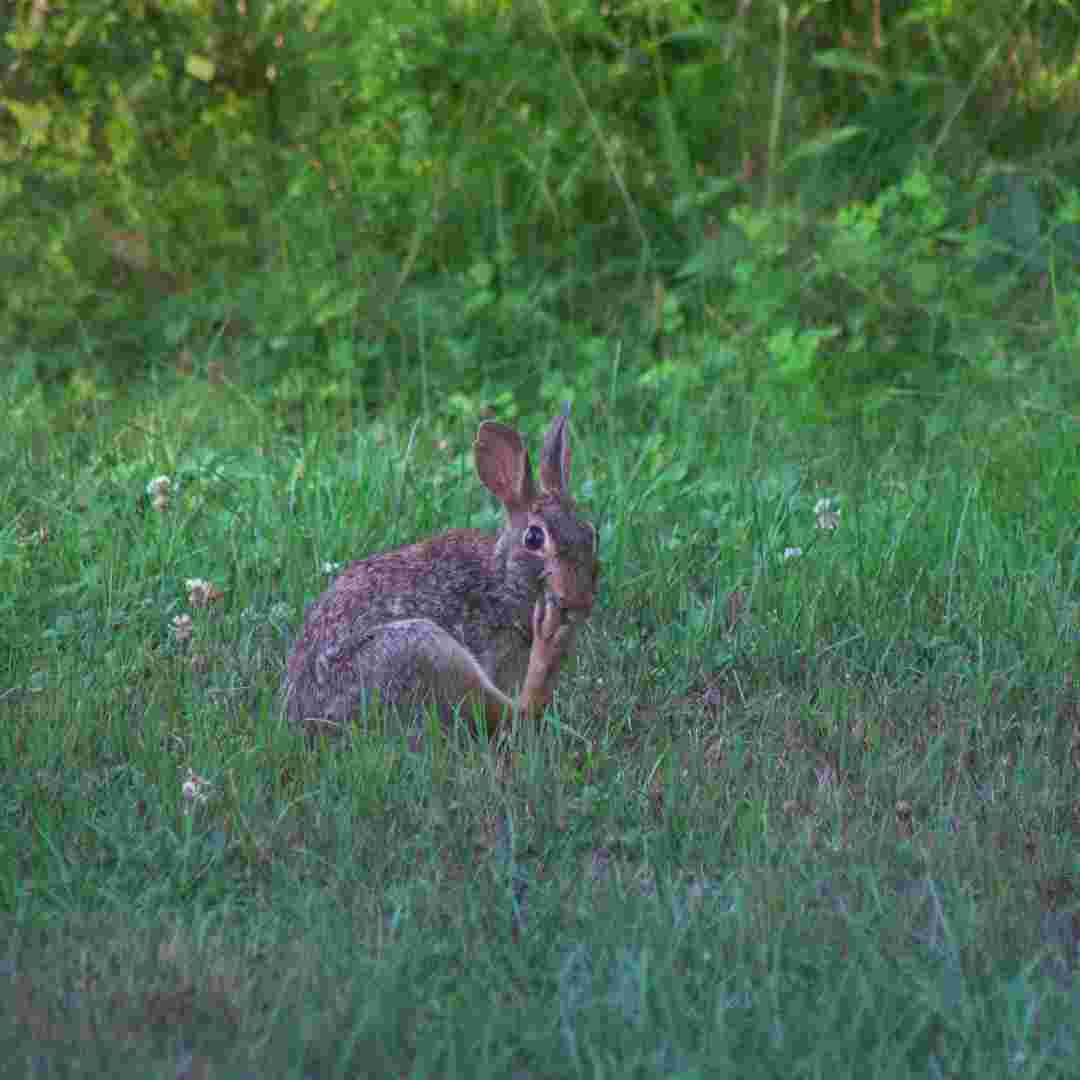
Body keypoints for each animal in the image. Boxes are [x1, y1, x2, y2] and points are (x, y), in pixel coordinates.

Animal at [280, 406, 600, 743]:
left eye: (591, 533)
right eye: (534, 539)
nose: (577, 600)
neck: (504, 580)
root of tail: (309, 721)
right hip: (422, 651)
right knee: (512, 715)